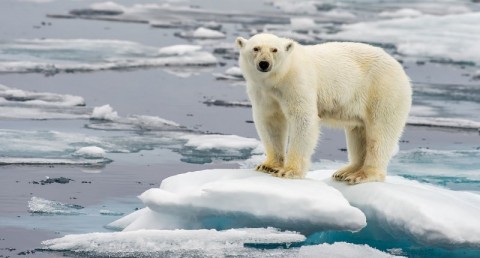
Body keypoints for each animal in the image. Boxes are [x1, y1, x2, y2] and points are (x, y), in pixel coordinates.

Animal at [234, 33, 410, 184]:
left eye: (274, 50)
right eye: (255, 48)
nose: (264, 63)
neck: (278, 78)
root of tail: (399, 68)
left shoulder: (297, 83)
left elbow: (303, 119)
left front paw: (289, 171)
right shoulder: (263, 92)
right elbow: (271, 122)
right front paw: (268, 165)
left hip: (382, 90)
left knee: (380, 133)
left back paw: (362, 175)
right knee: (359, 132)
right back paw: (345, 172)